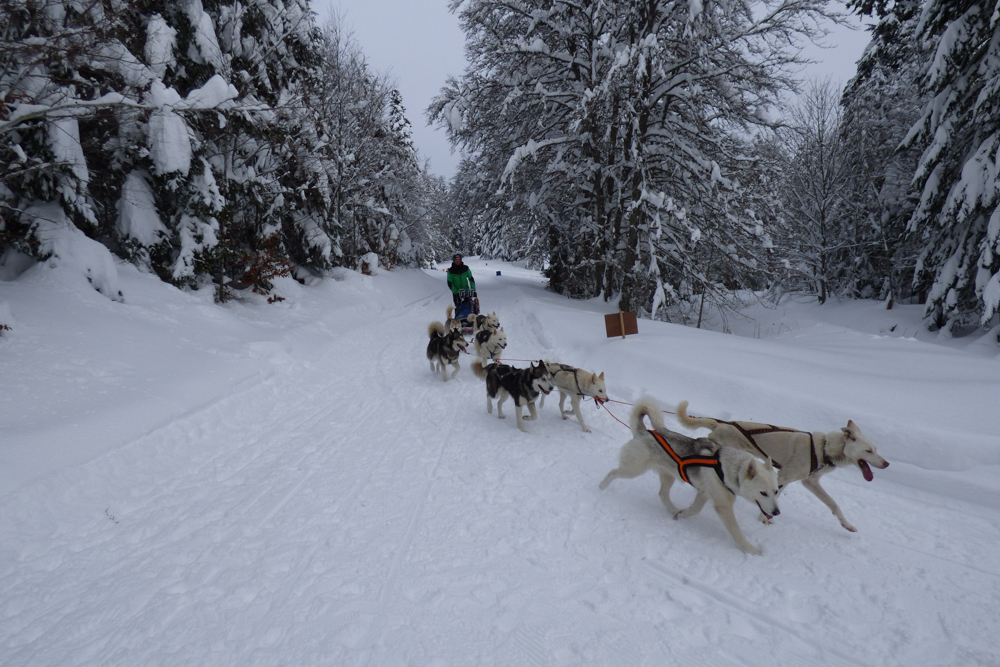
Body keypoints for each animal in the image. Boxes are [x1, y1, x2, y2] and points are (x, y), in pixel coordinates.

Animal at [600, 394, 780, 556]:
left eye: (776, 491)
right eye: (763, 493)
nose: (777, 512)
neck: (728, 468)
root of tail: (645, 432)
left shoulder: (704, 493)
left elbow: (694, 510)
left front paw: (682, 514)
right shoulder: (723, 506)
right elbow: (737, 533)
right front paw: (751, 549)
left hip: (668, 476)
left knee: (663, 494)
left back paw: (674, 509)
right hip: (633, 469)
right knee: (613, 472)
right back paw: (602, 487)